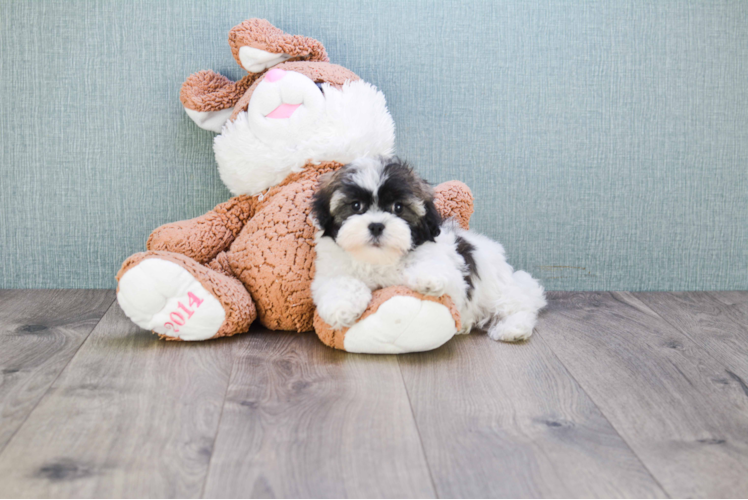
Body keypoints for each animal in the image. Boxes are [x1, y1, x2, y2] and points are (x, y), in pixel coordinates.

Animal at [306, 158, 548, 342]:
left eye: (398, 207)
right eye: (356, 206)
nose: (376, 225)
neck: (380, 259)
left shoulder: (452, 274)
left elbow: (433, 266)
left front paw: (428, 278)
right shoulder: (330, 271)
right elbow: (341, 283)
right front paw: (341, 309)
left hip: (497, 289)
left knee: (519, 306)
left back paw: (512, 329)